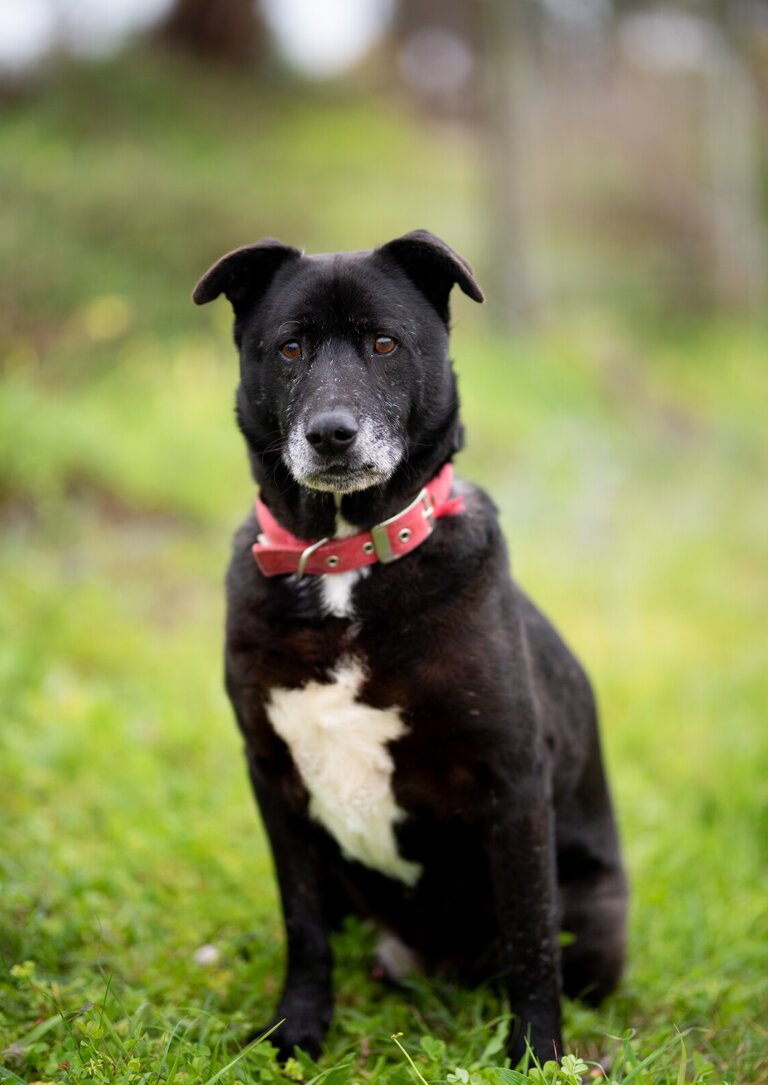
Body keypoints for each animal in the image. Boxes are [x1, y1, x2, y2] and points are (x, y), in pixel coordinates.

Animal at [193, 230, 627, 1065]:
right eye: (289, 347)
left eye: (385, 343)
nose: (331, 433)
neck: (346, 562)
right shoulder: (274, 778)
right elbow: (302, 926)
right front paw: (297, 1028)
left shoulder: (513, 783)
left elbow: (531, 939)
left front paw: (535, 1053)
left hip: (595, 916)